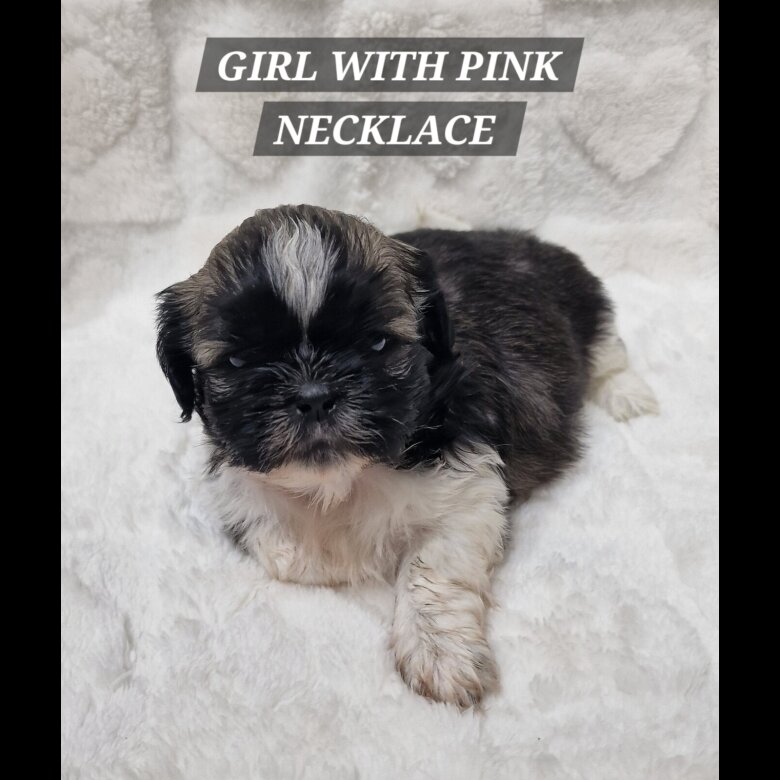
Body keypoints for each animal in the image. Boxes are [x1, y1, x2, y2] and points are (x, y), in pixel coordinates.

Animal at [156, 204, 657, 708]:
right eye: (238, 362)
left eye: (377, 344)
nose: (313, 395)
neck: (344, 480)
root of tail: (526, 240)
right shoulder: (241, 493)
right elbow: (286, 550)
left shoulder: (469, 485)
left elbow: (431, 566)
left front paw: (440, 655)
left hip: (589, 308)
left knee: (610, 356)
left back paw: (630, 398)